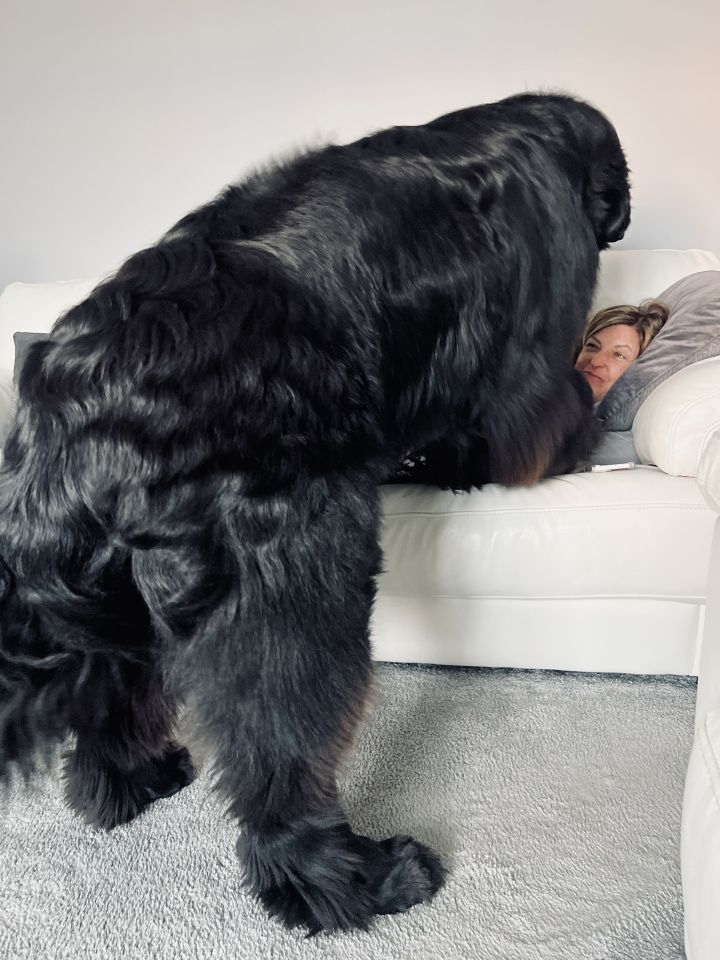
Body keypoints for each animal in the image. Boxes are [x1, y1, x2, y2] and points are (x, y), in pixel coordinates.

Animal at [0, 90, 632, 928]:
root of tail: (75, 407)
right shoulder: (530, 366)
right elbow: (550, 410)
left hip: (113, 605)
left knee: (113, 706)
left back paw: (131, 782)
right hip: (293, 595)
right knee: (282, 766)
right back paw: (358, 881)